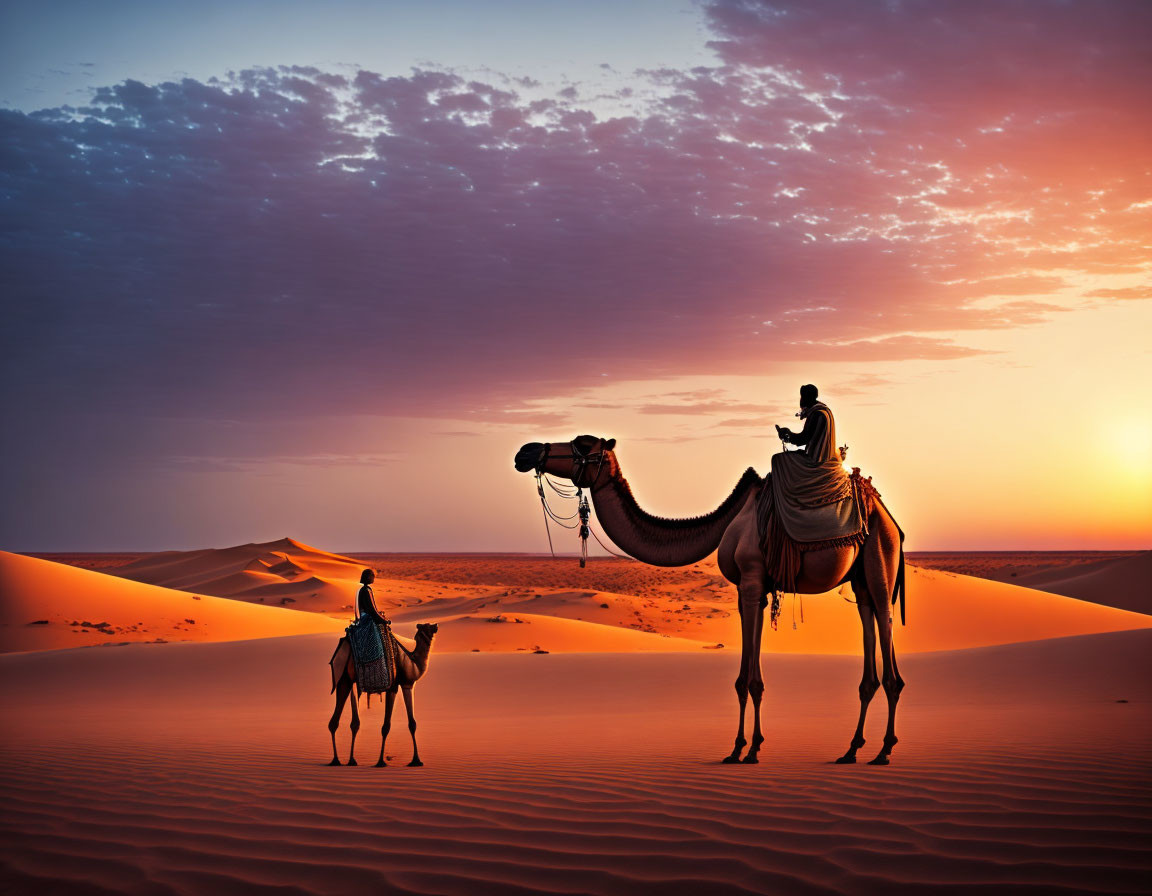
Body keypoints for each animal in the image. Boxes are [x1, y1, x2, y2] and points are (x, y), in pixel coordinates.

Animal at [327, 621, 437, 760]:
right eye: (428, 625)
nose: (436, 625)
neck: (413, 663)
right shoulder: (401, 684)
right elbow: (395, 725)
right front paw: (413, 760)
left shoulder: (404, 685)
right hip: (350, 679)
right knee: (346, 721)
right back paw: (343, 759)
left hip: (345, 679)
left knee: (342, 722)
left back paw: (344, 759)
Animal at [516, 435, 907, 764]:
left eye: (582, 445)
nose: (526, 451)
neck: (730, 520)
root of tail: (887, 515)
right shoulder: (750, 590)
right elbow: (748, 676)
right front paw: (748, 745)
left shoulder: (751, 580)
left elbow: (748, 680)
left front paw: (743, 751)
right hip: (858, 579)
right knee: (868, 629)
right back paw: (851, 749)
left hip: (879, 557)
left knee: (886, 628)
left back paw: (884, 750)